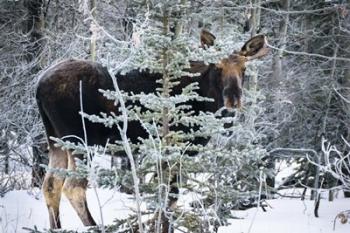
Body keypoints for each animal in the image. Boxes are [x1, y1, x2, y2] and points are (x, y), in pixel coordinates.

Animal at [35, 30, 270, 228]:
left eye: (244, 69)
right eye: (218, 67)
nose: (233, 100)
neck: (206, 102)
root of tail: (38, 87)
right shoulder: (177, 147)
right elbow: (170, 198)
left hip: (55, 140)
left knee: (51, 185)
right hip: (81, 140)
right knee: (73, 187)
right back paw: (95, 227)